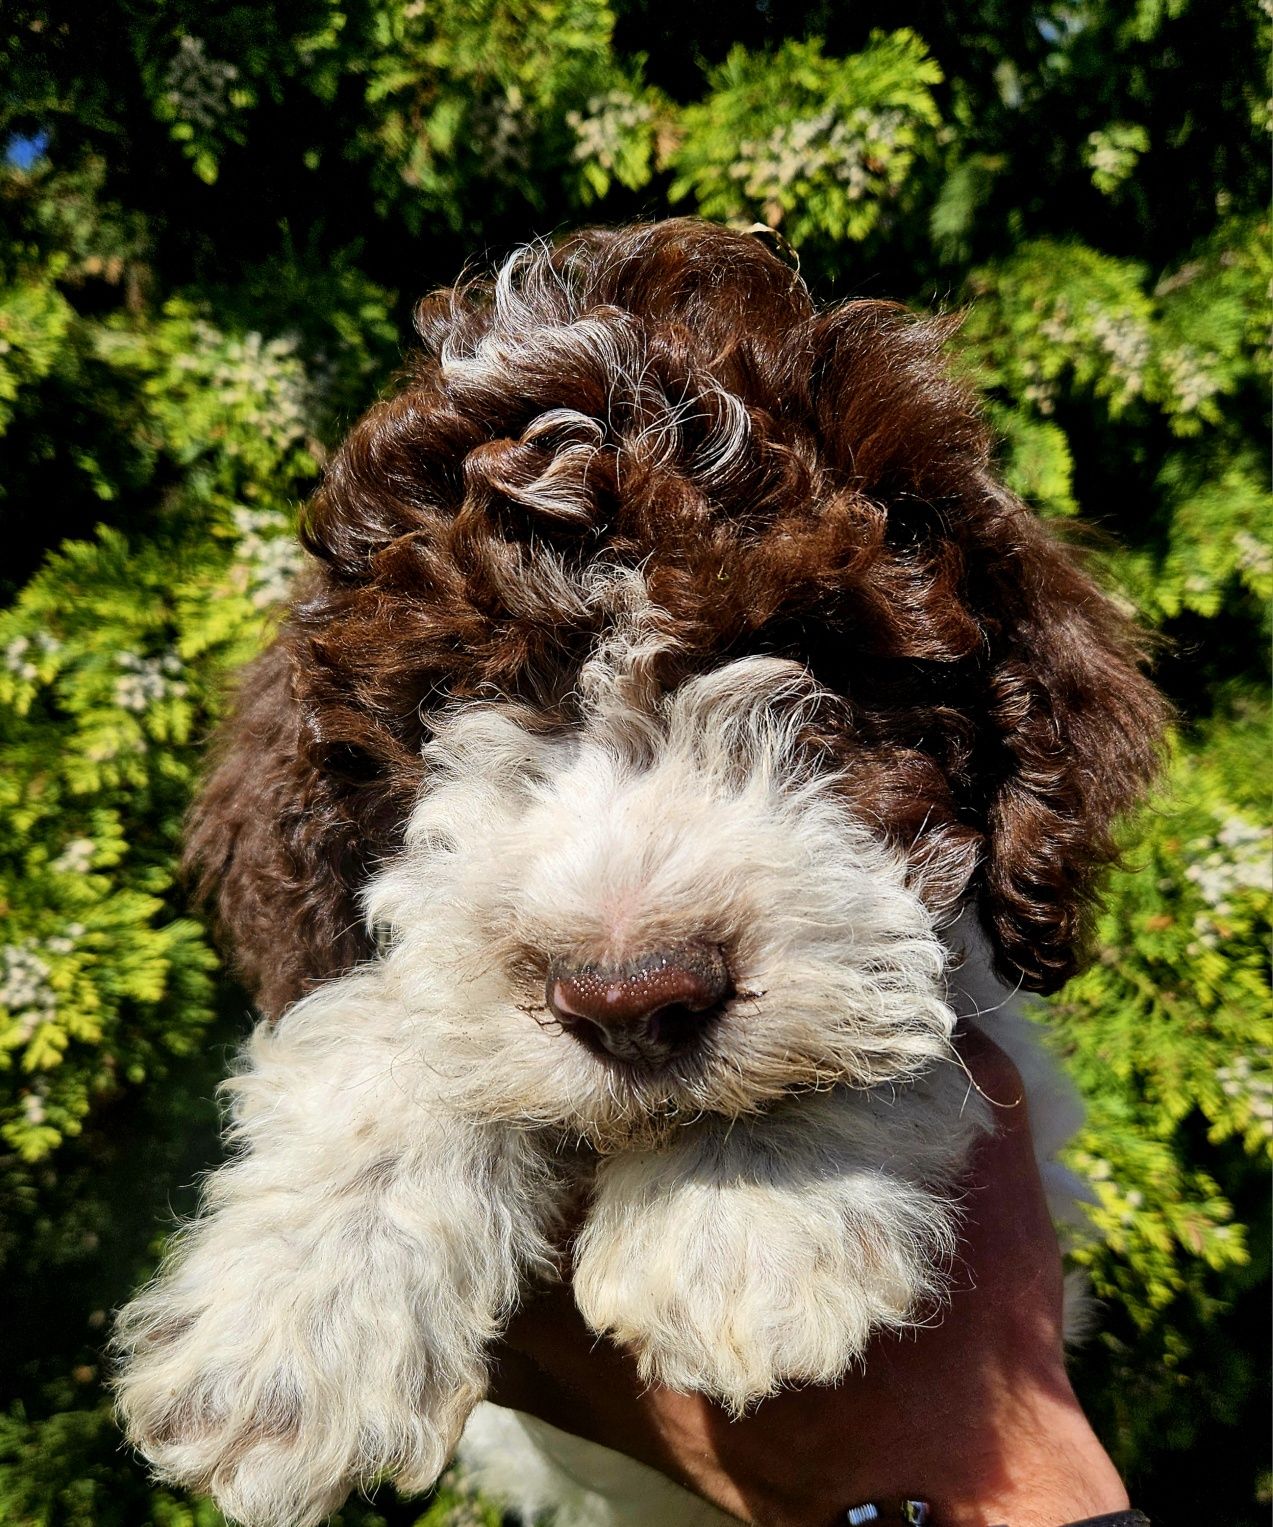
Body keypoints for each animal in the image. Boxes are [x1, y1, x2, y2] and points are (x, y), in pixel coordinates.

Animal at [109, 218, 1160, 1527]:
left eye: (817, 657)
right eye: (451, 693)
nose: (633, 997)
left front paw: (748, 1218)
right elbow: (391, 1014)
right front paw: (295, 1325)